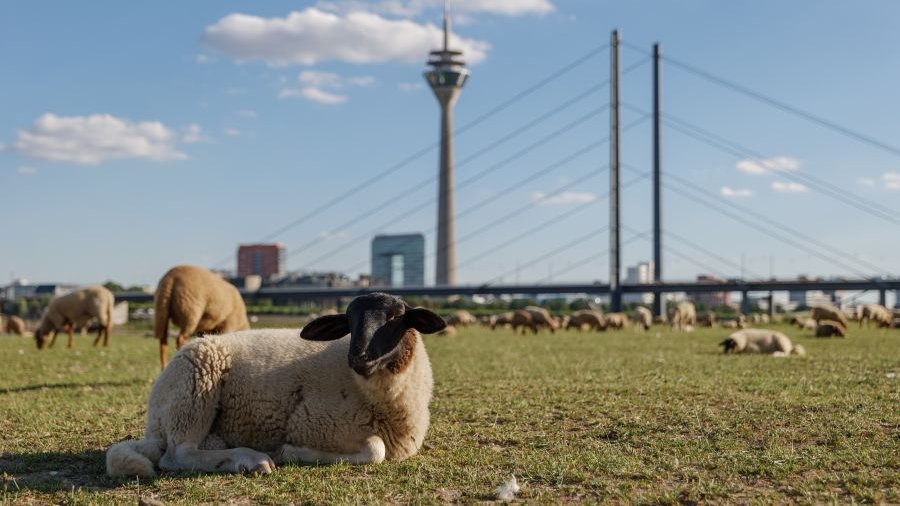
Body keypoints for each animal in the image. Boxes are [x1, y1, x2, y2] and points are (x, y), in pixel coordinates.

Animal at [106, 292, 446, 477]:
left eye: (397, 318)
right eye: (348, 320)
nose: (358, 356)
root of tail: (154, 419)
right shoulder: (312, 423)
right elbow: (376, 449)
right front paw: (289, 452)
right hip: (194, 389)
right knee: (177, 455)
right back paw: (250, 460)